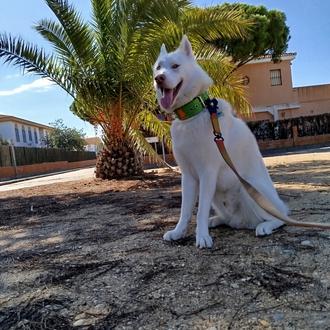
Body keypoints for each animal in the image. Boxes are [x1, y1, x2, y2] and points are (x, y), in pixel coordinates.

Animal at [153, 36, 288, 248]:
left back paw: (265, 226)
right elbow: (185, 210)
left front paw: (201, 236)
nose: (159, 78)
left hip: (251, 187)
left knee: (280, 218)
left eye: (175, 66)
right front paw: (179, 232)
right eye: (158, 67)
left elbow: (200, 210)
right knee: (230, 220)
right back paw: (217, 220)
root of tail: (244, 221)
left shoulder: (207, 173)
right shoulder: (188, 176)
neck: (192, 115)